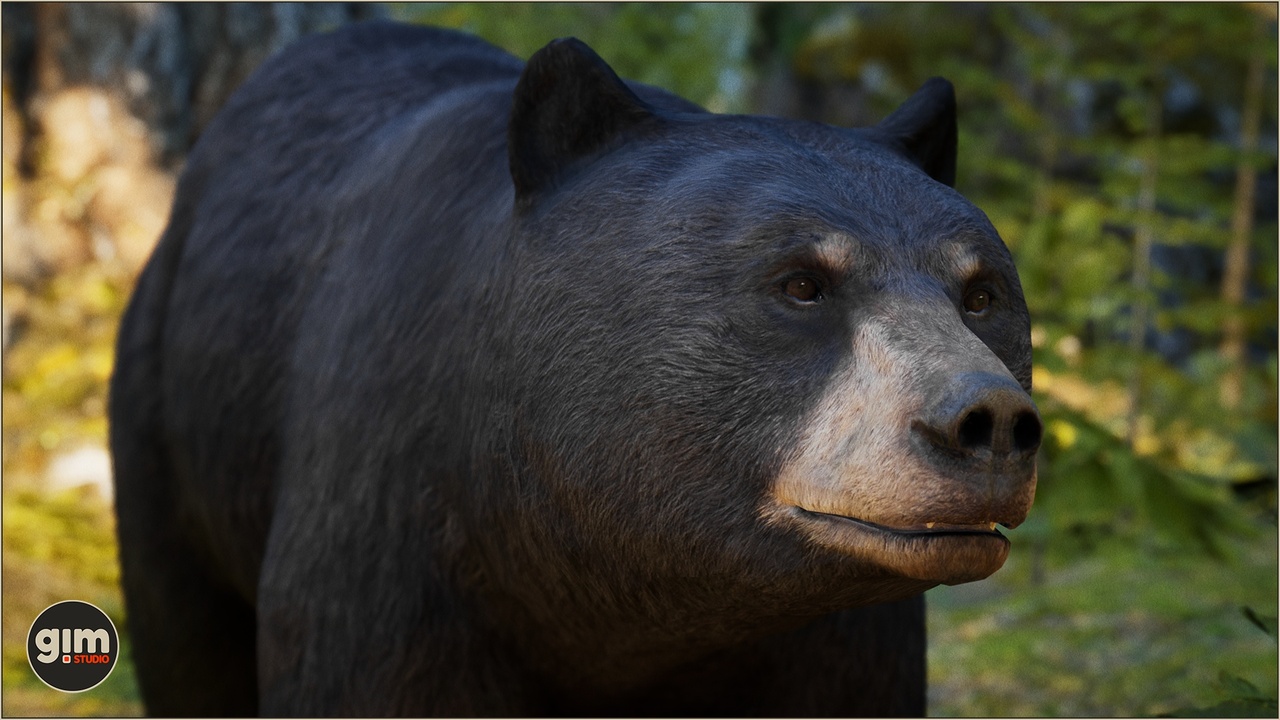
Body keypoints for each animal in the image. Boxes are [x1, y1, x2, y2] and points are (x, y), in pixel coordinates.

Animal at [109, 20, 1041, 717]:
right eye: (802, 283)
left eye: (981, 291)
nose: (989, 423)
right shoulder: (393, 534)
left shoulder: (841, 631)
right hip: (169, 426)